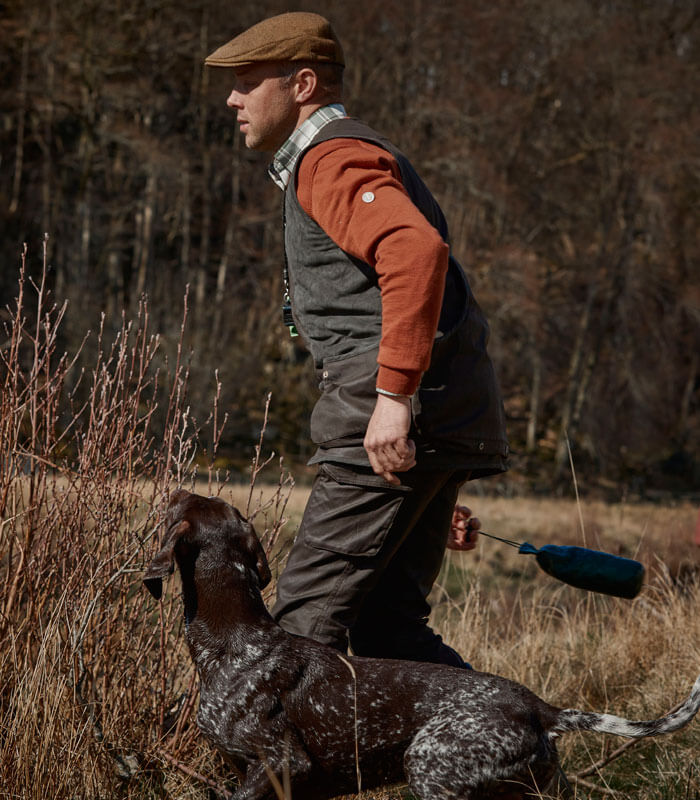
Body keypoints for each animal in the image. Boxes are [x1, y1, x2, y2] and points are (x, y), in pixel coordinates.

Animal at [144, 490, 700, 800]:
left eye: (176, 505)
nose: (174, 484)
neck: (237, 639)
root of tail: (540, 708)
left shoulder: (282, 764)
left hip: (431, 767)